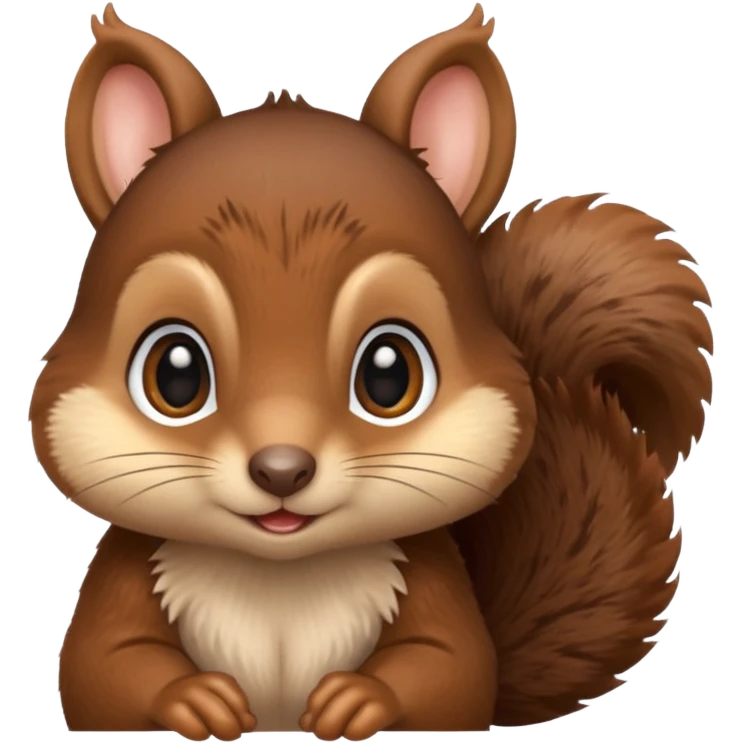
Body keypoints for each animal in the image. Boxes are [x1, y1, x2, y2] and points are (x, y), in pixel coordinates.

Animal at [34, 2, 713, 740]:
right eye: (175, 374)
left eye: (389, 374)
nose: (281, 469)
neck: (281, 574)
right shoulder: (127, 572)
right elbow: (102, 664)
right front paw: (195, 699)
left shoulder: (430, 579)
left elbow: (450, 667)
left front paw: (358, 699)